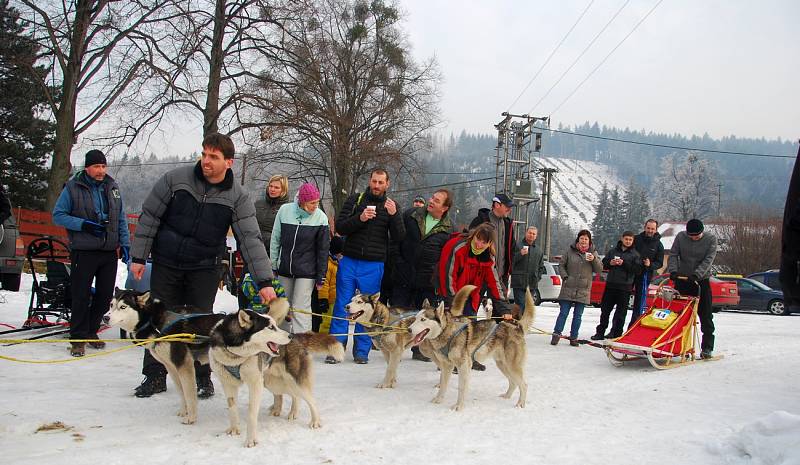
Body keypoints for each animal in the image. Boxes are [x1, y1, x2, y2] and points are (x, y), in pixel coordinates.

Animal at [106, 288, 225, 422]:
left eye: (123, 307)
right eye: (111, 305)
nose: (105, 317)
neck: (156, 325)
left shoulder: (185, 365)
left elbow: (189, 393)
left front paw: (191, 418)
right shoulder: (171, 367)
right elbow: (181, 391)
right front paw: (183, 412)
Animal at [208, 304, 292, 446]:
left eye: (275, 325)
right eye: (270, 327)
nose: (291, 336)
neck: (235, 356)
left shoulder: (255, 383)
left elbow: (252, 413)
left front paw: (251, 439)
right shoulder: (227, 384)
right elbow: (232, 407)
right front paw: (234, 429)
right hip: (269, 380)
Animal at [410, 282, 536, 410]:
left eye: (423, 319)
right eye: (415, 318)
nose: (409, 329)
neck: (448, 332)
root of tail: (517, 327)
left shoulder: (463, 366)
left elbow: (461, 388)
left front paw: (459, 406)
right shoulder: (447, 367)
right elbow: (443, 385)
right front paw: (438, 400)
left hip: (512, 366)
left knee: (524, 385)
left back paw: (520, 404)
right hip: (502, 365)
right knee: (513, 382)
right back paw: (507, 396)